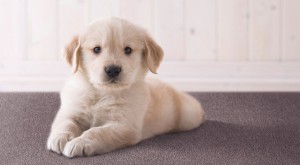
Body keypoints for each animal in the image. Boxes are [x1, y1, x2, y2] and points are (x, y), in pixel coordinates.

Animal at [47, 16, 205, 157]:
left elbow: (98, 131)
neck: (103, 93)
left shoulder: (124, 126)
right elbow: (65, 123)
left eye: (128, 50)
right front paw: (60, 138)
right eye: (97, 49)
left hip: (189, 117)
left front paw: (80, 142)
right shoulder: (71, 111)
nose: (113, 70)